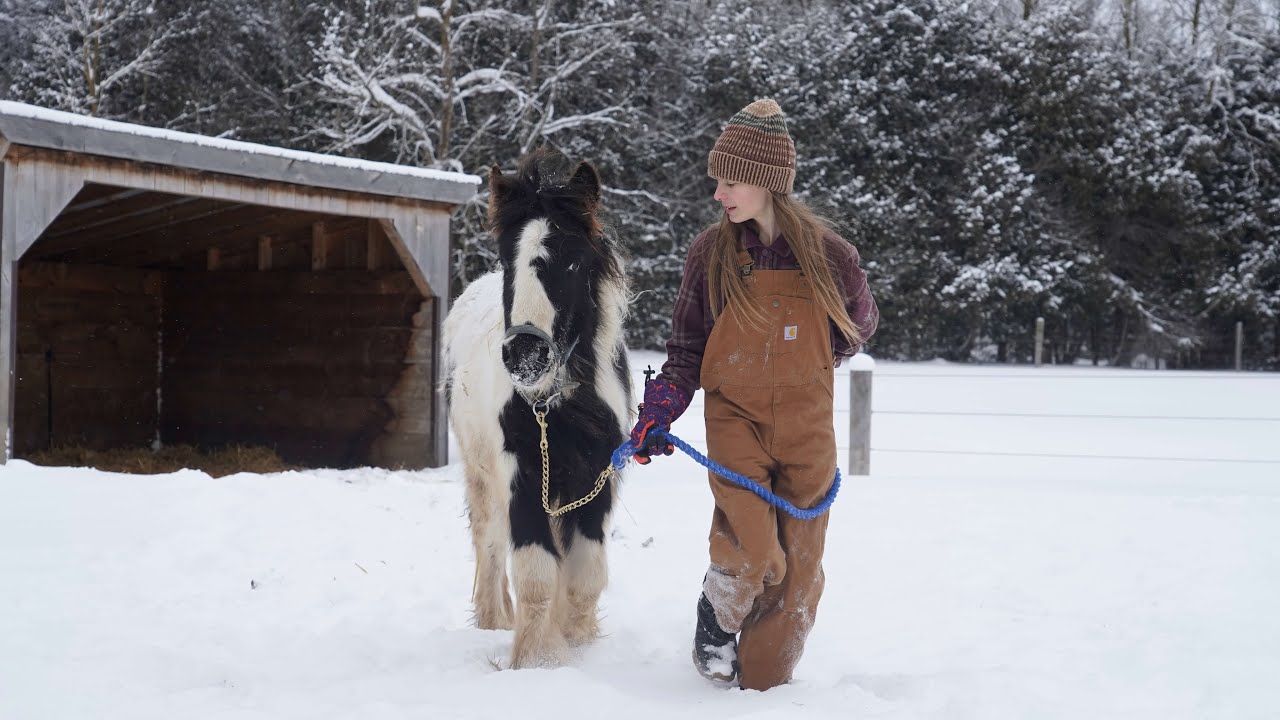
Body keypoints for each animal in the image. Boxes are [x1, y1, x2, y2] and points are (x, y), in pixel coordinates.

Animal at [443, 147, 632, 668]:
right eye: (509, 260)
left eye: (572, 263)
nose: (526, 354)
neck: (558, 400)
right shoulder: (522, 472)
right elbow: (535, 570)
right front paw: (535, 660)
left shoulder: (595, 479)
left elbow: (585, 575)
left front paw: (577, 643)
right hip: (483, 475)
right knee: (489, 543)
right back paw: (493, 618)